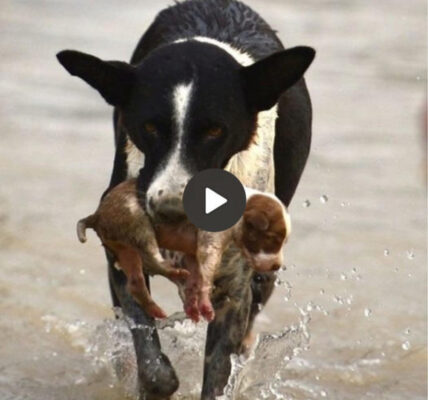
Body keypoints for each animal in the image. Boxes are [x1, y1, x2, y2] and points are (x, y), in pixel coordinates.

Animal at [56, 1, 314, 398]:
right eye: (149, 127)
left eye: (215, 131)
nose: (171, 210)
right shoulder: (121, 263)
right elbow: (151, 360)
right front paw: (153, 379)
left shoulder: (234, 291)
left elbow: (220, 369)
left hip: (265, 267)